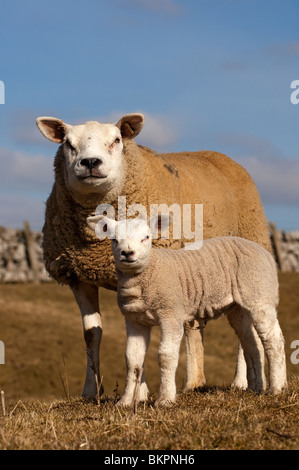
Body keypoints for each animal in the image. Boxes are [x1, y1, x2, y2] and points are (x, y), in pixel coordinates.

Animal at [36, 113, 274, 396]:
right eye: (68, 144)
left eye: (116, 140)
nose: (91, 162)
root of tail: (218, 155)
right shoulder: (79, 278)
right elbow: (92, 333)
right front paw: (92, 391)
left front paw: (140, 392)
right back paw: (199, 382)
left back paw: (235, 381)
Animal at [87, 215, 288, 406]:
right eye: (114, 239)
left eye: (146, 237)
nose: (127, 253)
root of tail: (266, 254)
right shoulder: (134, 320)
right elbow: (132, 359)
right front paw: (126, 401)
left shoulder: (171, 312)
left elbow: (166, 355)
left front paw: (165, 399)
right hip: (239, 308)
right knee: (251, 343)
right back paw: (255, 388)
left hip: (258, 293)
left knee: (273, 339)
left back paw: (277, 388)